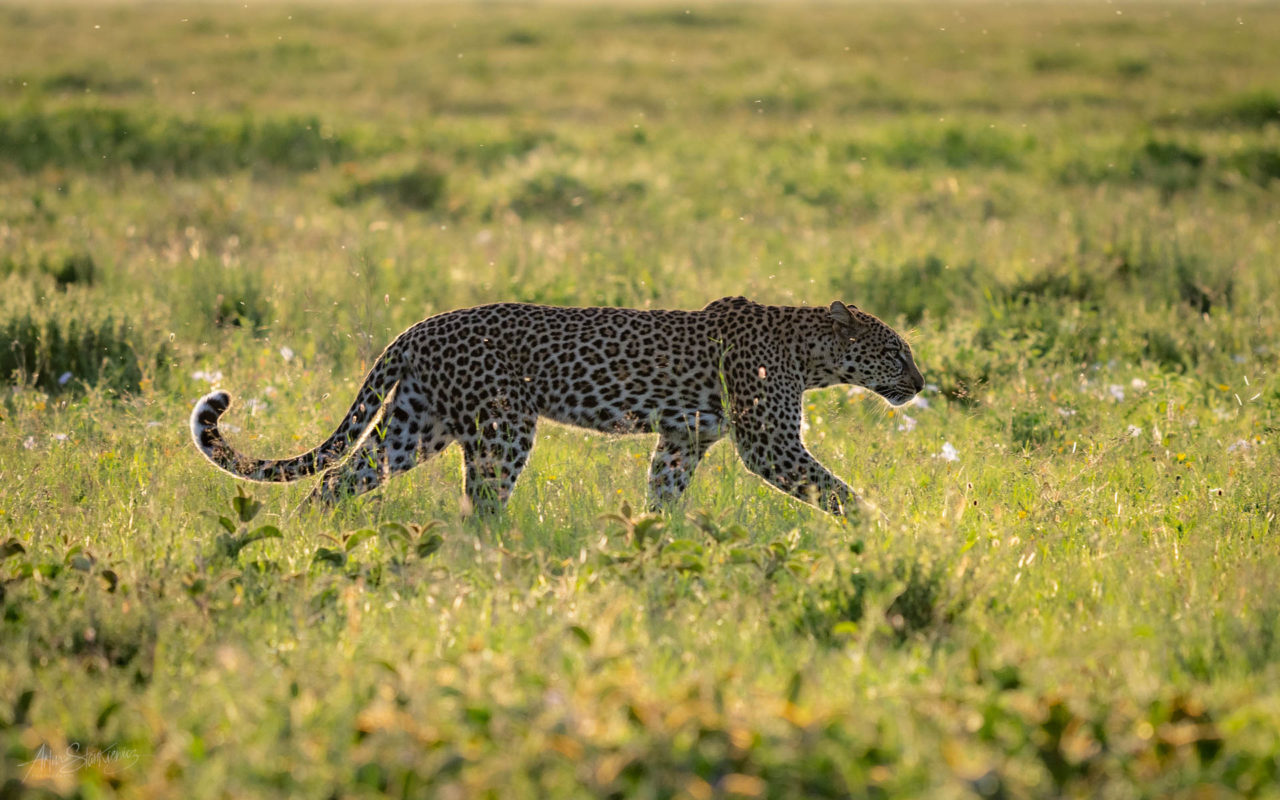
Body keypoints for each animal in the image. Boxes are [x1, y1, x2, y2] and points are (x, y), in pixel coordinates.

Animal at [189, 296, 926, 514]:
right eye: (897, 353)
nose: (921, 382)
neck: (811, 351)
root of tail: (419, 327)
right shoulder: (769, 443)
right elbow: (832, 488)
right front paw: (880, 528)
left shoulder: (683, 440)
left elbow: (664, 494)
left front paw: (651, 544)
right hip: (502, 429)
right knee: (482, 504)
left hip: (415, 425)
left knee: (340, 478)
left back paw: (311, 536)